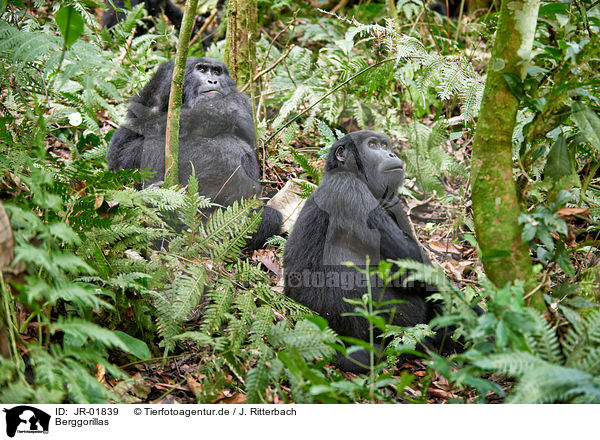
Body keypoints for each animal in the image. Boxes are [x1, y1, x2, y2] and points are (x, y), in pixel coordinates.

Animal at [284, 130, 462, 372]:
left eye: (385, 145)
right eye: (373, 145)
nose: (391, 154)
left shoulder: (393, 201)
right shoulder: (349, 188)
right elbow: (411, 264)